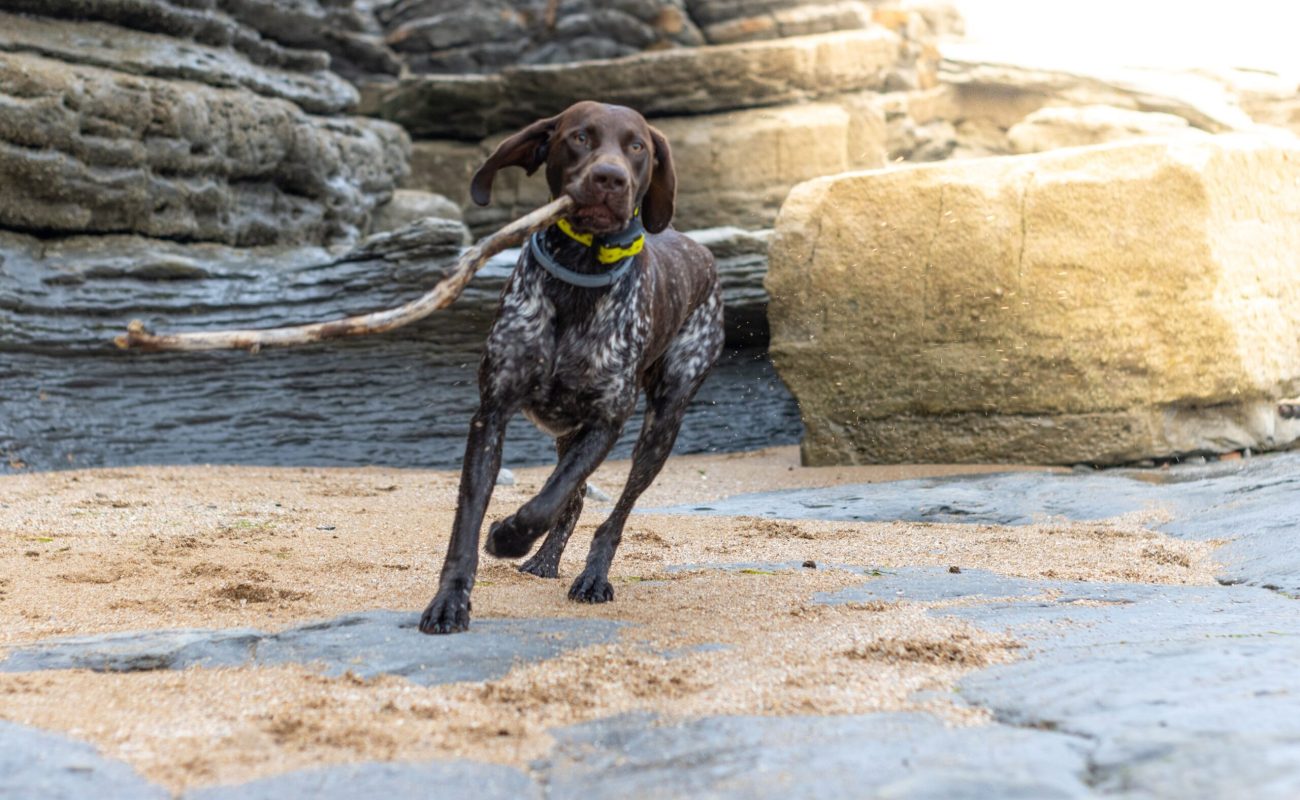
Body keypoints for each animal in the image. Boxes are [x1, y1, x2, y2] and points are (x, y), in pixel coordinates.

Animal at [418, 101, 722, 637]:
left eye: (637, 146)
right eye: (579, 137)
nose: (609, 178)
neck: (580, 276)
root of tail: (699, 248)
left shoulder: (605, 423)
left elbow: (548, 498)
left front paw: (508, 535)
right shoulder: (491, 415)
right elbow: (468, 524)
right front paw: (450, 601)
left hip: (662, 423)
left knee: (613, 514)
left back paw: (593, 577)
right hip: (570, 430)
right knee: (576, 500)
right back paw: (545, 561)